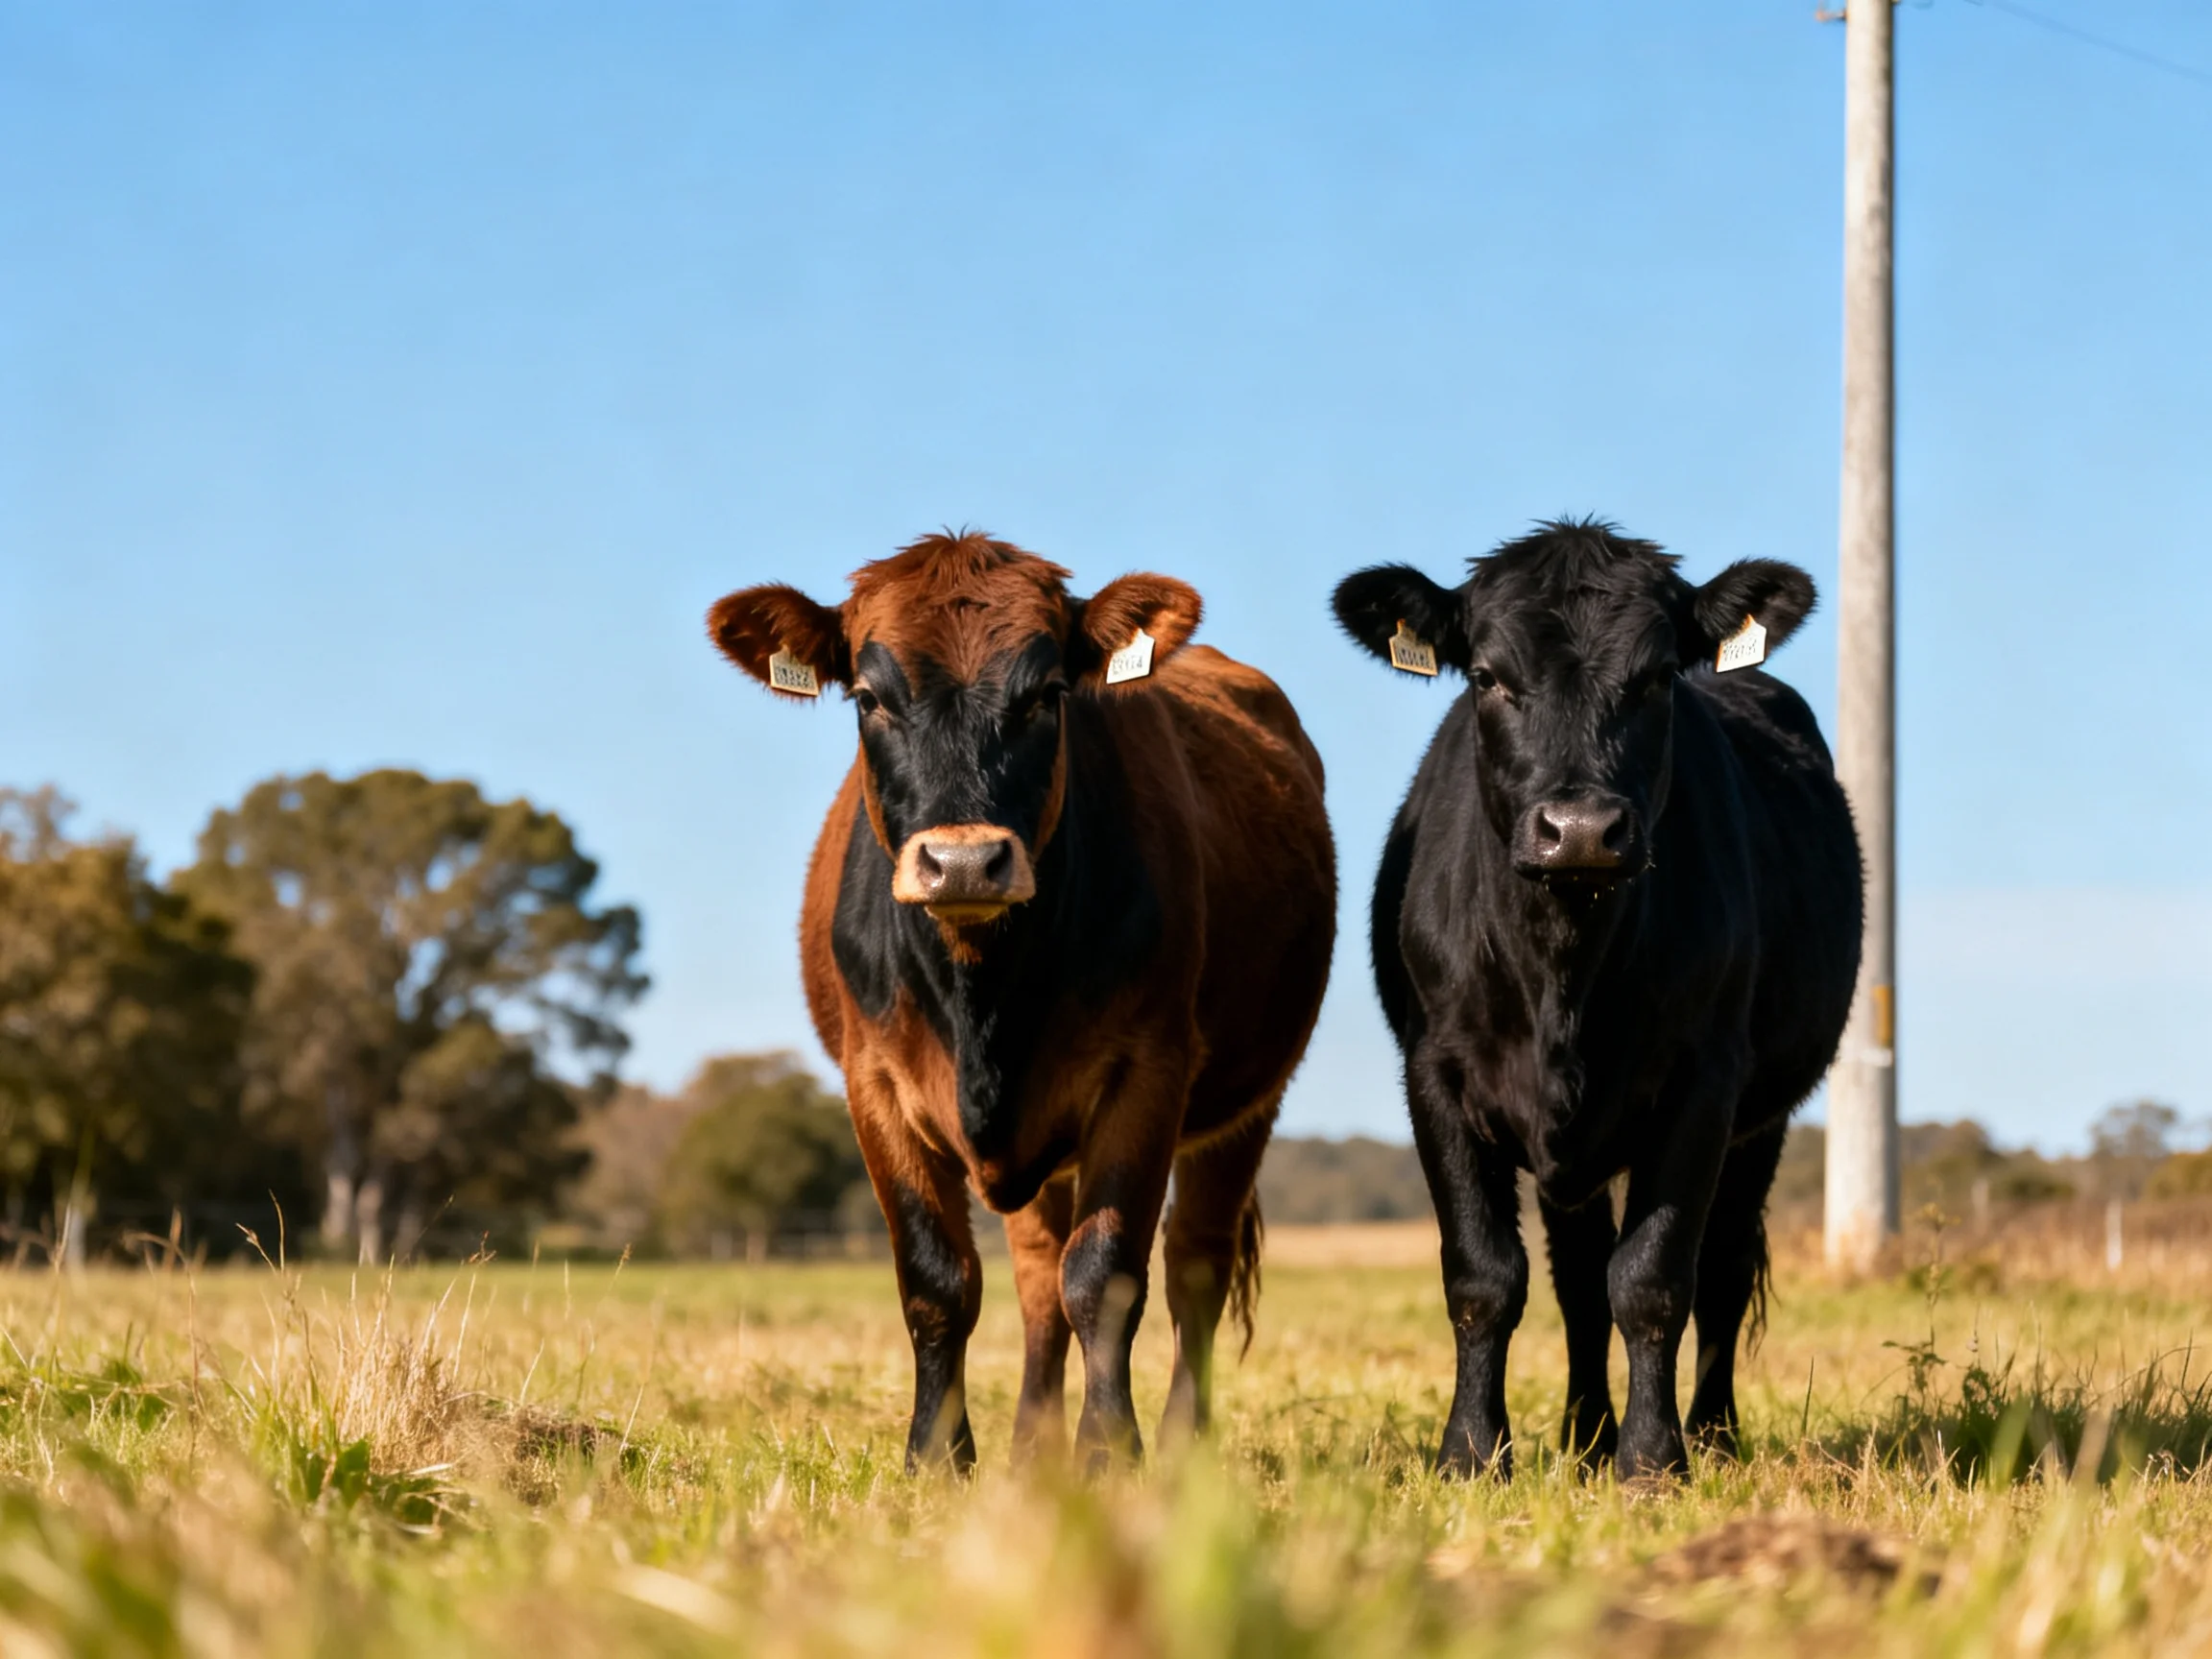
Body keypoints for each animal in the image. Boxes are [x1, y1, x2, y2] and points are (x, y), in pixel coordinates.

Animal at [708, 531, 1335, 1471]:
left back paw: (1183, 1447)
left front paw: (1110, 1453)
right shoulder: (873, 1085)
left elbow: (1105, 1274)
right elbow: (938, 1279)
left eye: (1047, 694)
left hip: (1249, 1100)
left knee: (1194, 1264)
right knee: (1040, 1277)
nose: (965, 862)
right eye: (868, 696)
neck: (985, 1001)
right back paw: (1032, 1451)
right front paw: (938, 1457)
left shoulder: (1149, 1072)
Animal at [1331, 519, 1861, 1481]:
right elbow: (1485, 1275)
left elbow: (1653, 1279)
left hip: (1763, 1118)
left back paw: (1713, 1438)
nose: (1580, 831)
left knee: (1723, 1271)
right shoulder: (1435, 1076)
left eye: (1655, 677)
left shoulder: (1705, 1082)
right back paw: (1583, 1439)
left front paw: (1653, 1461)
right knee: (1577, 1276)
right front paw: (1473, 1454)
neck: (1563, 976)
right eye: (1488, 676)